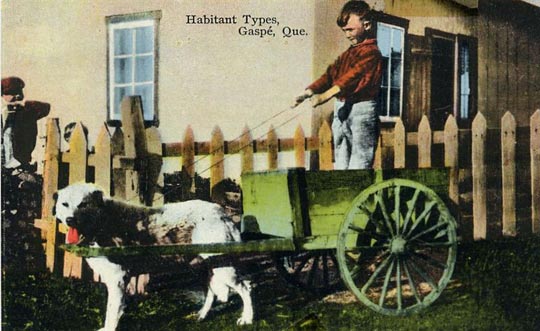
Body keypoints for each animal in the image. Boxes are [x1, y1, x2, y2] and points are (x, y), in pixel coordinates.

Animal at [53, 183, 252, 331]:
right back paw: (201, 315)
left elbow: (111, 312)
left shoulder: (117, 279)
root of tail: (221, 213)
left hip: (224, 268)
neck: (104, 222)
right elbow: (117, 309)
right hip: (202, 267)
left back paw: (247, 318)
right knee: (210, 291)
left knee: (245, 288)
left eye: (83, 204)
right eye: (65, 204)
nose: (70, 220)